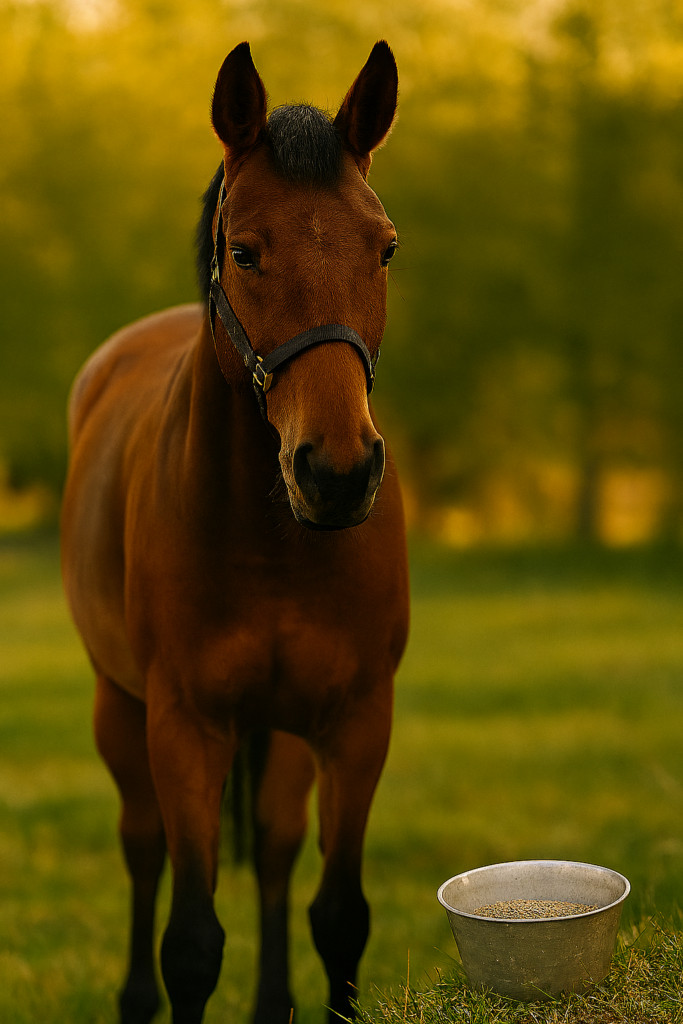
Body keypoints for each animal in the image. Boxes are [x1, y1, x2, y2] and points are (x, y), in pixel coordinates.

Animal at [61, 39, 409, 1024]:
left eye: (384, 248)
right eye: (244, 251)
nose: (336, 472)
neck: (276, 544)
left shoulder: (356, 721)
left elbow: (339, 915)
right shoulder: (185, 725)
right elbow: (191, 941)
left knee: (278, 848)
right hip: (121, 709)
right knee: (142, 846)